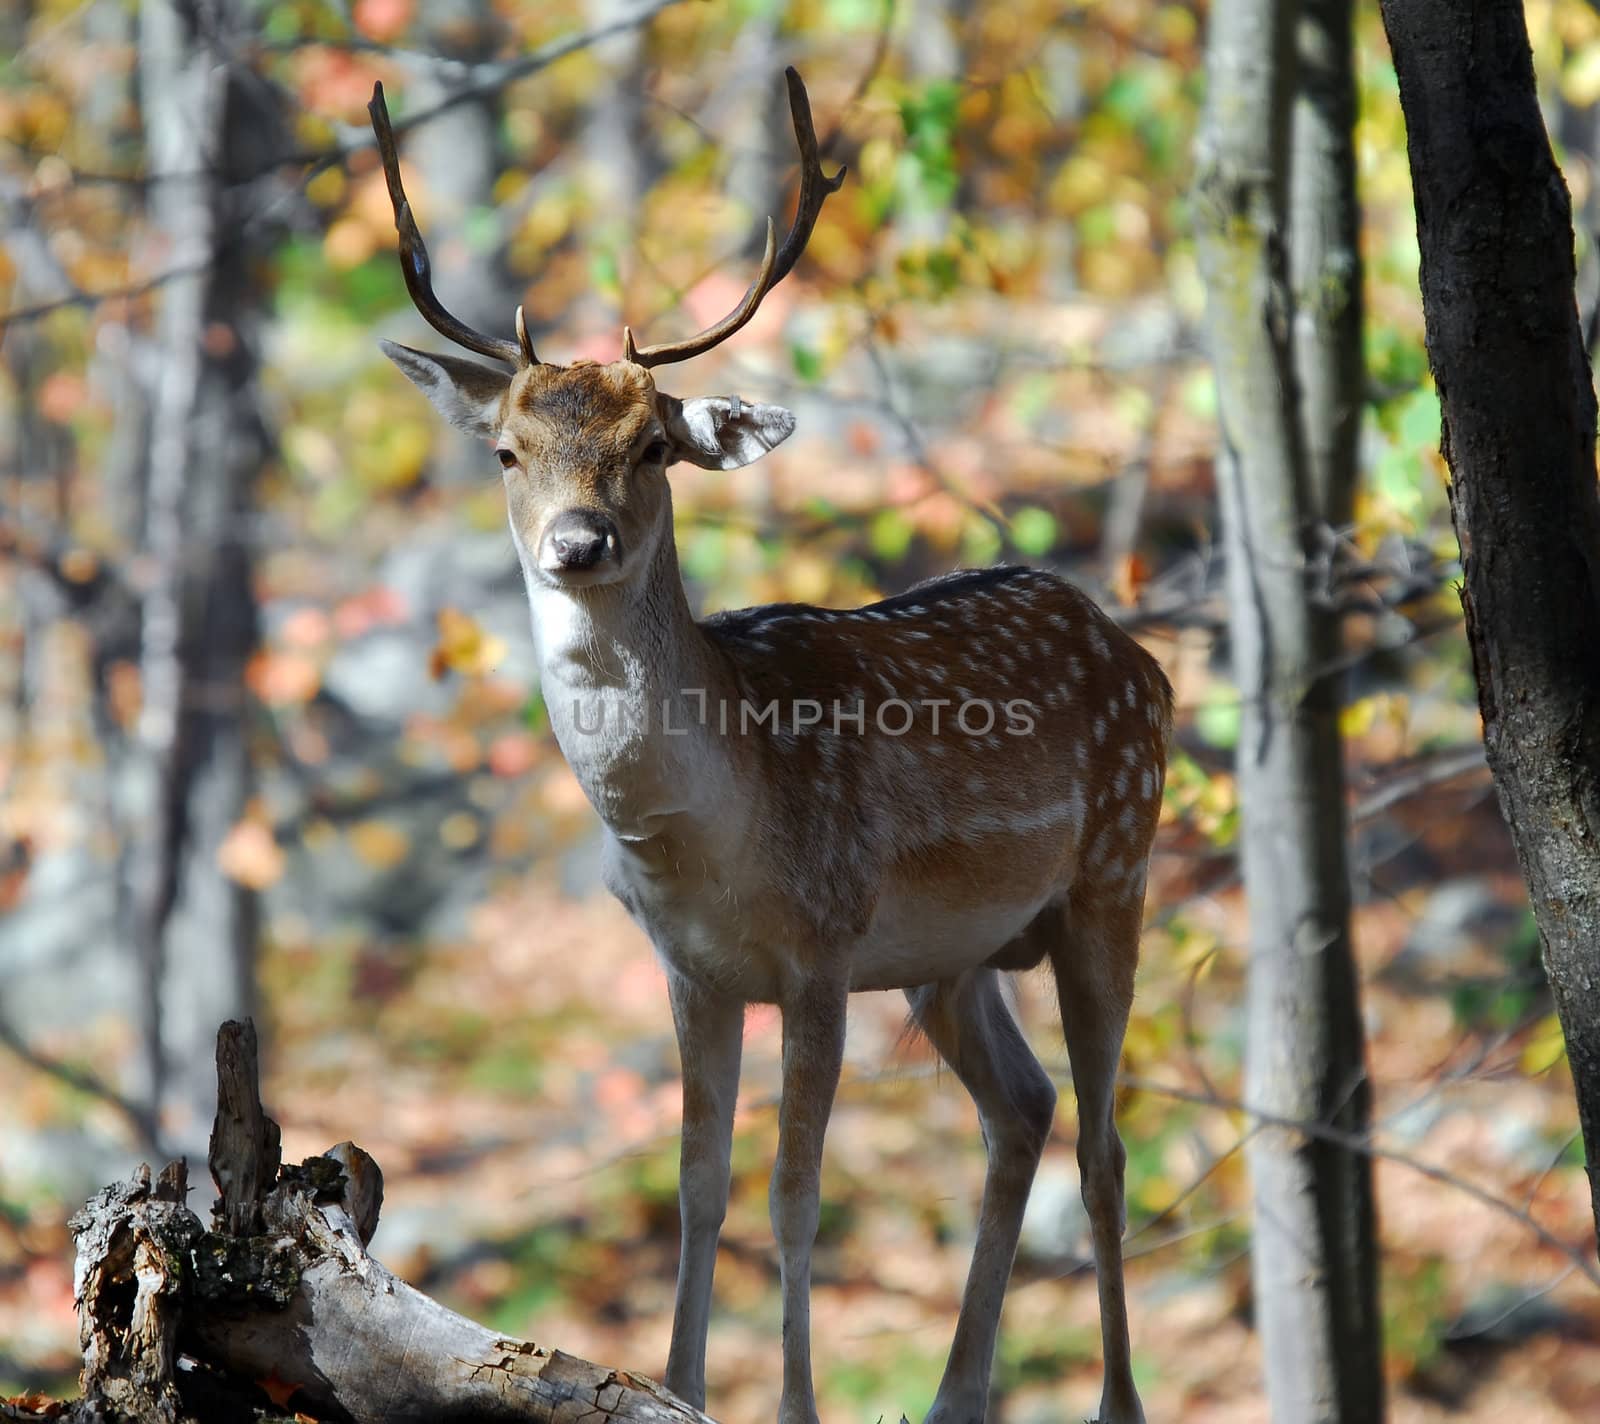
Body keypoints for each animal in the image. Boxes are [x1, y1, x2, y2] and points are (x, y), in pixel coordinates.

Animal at [366, 69, 1164, 1420]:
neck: (708, 837)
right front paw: (678, 1382)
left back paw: (1114, 1398)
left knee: (1105, 1142)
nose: (575, 542)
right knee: (1024, 1107)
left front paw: (792, 1400)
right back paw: (954, 1393)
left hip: (1113, 868)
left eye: (650, 446)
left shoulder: (824, 947)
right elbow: (701, 1187)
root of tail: (1138, 653)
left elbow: (796, 1194)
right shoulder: (690, 967)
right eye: (508, 450)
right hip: (959, 953)